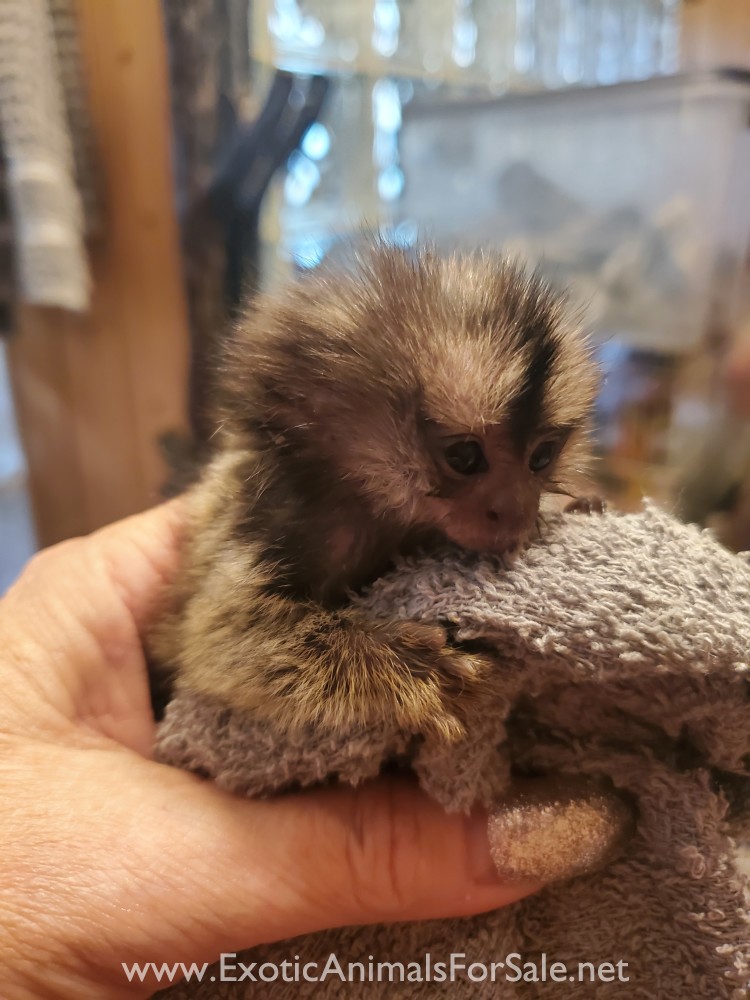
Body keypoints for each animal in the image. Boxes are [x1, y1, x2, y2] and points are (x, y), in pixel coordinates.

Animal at [150, 243, 600, 741]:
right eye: (465, 456)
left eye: (541, 457)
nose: (517, 510)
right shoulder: (265, 513)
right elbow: (223, 640)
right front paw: (412, 665)